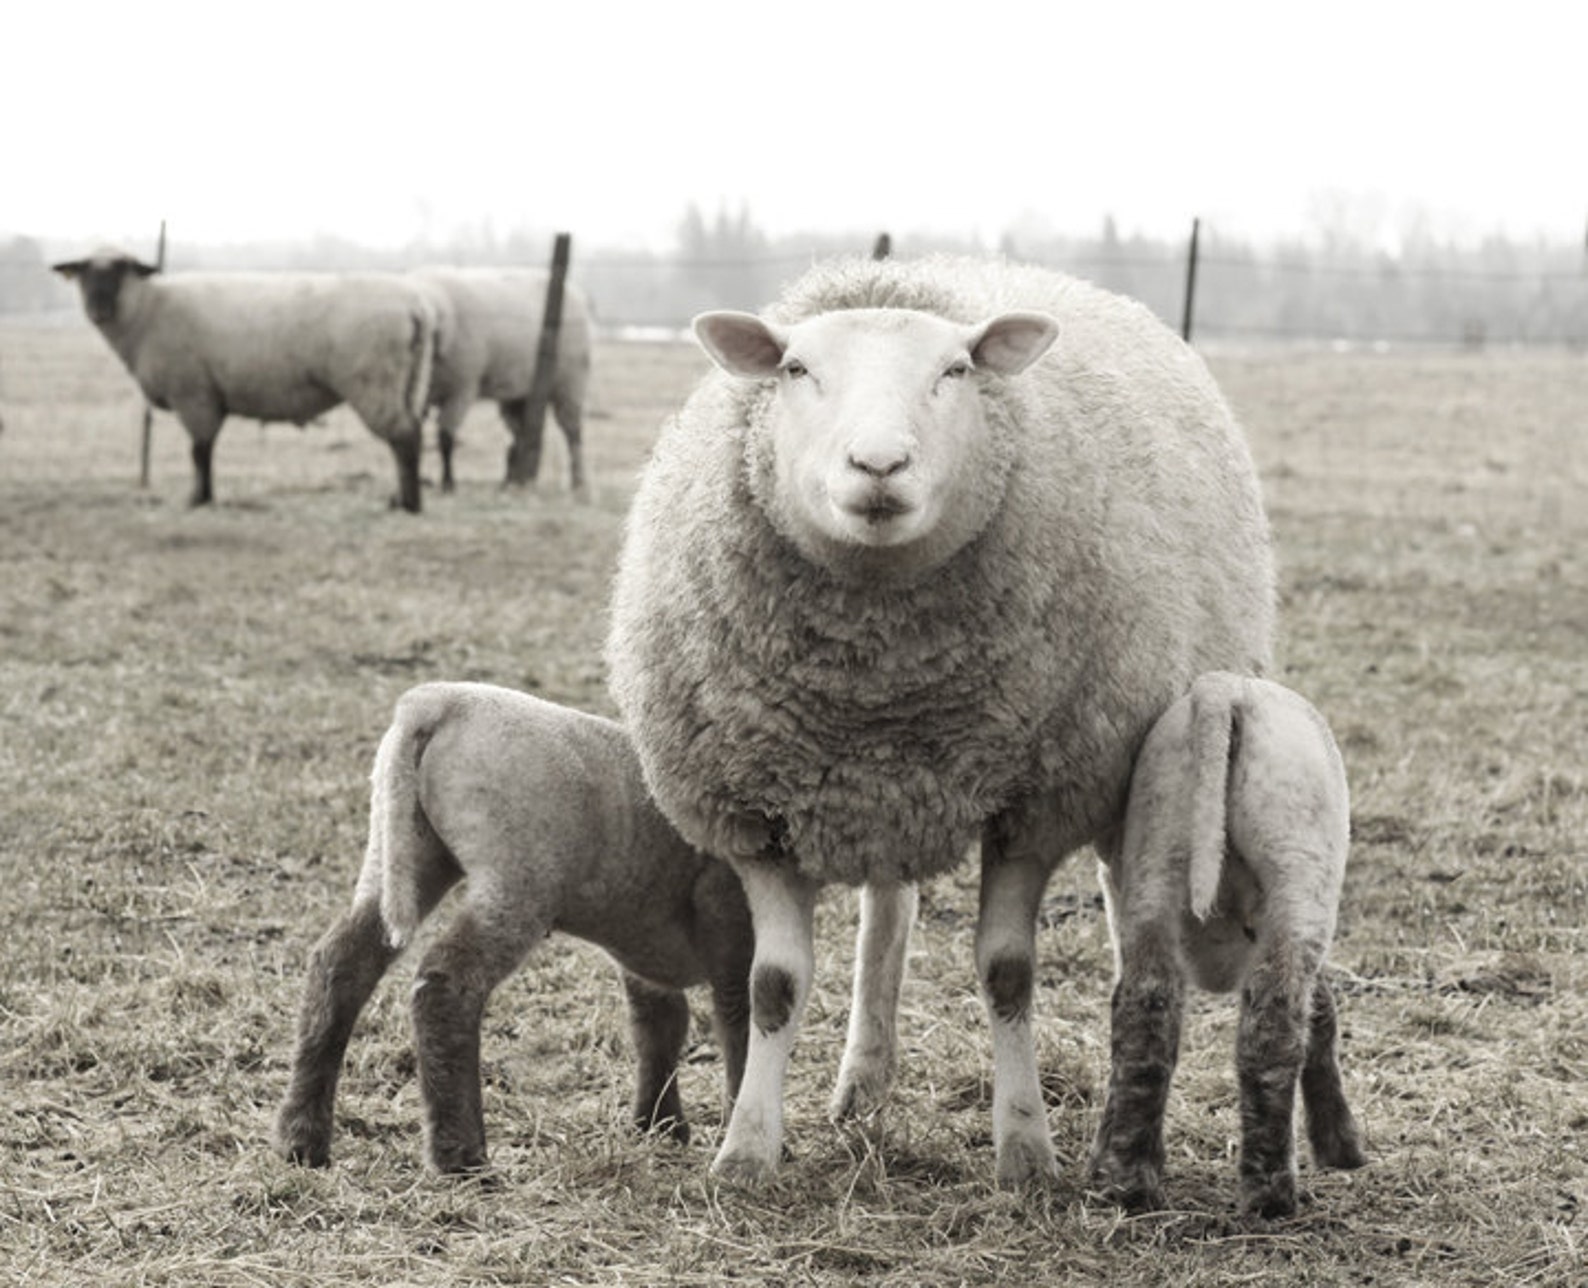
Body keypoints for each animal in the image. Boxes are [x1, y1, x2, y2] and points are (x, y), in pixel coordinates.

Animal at [52, 248, 436, 512]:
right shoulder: (205, 397)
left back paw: (411, 505)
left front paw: (198, 499)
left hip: (374, 380)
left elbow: (199, 451)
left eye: (122, 269)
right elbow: (205, 450)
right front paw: (204, 496)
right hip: (408, 380)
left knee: (404, 436)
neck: (149, 308)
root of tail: (414, 306)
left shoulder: (193, 393)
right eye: (84, 272)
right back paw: (401, 500)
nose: (98, 308)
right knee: (410, 433)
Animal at [271, 681, 753, 1173]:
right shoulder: (730, 920)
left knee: (340, 963)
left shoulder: (645, 945)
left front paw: (659, 1126)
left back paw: (303, 1139)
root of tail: (433, 703)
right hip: (517, 876)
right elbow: (738, 1021)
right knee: (446, 984)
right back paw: (461, 1157)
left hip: (401, 848)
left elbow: (659, 1026)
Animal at [412, 267, 593, 497]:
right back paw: (512, 482)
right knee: (521, 437)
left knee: (572, 433)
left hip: (570, 383)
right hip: (520, 393)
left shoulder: (462, 389)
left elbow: (446, 438)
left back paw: (578, 484)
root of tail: (575, 294)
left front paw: (448, 484)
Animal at [605, 253, 1276, 1186]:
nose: (879, 463)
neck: (878, 682)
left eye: (955, 371)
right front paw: (746, 1153)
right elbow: (774, 986)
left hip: (1147, 763)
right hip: (884, 795)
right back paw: (862, 1083)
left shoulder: (1032, 808)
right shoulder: (757, 815)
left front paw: (1025, 1150)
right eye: (796, 370)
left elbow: (1007, 974)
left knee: (1130, 925)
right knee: (889, 917)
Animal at [1089, 672, 1367, 1217]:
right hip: (1296, 864)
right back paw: (1271, 1195)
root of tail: (1225, 691)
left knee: (1144, 1017)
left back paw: (1129, 1179)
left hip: (1158, 850)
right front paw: (1342, 1149)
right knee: (1272, 1030)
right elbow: (1321, 1019)